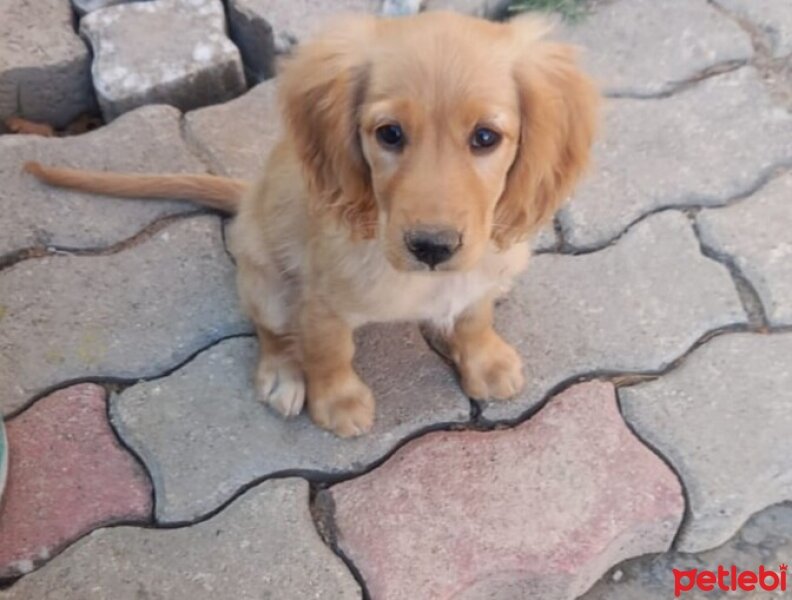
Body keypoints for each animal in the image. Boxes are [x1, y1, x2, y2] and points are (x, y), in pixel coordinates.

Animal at [24, 10, 596, 436]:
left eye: (485, 137)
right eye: (389, 134)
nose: (432, 247)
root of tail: (248, 199)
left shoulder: (479, 273)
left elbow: (474, 315)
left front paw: (484, 360)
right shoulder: (321, 301)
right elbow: (329, 351)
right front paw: (337, 402)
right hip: (266, 279)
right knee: (271, 331)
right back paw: (282, 374)